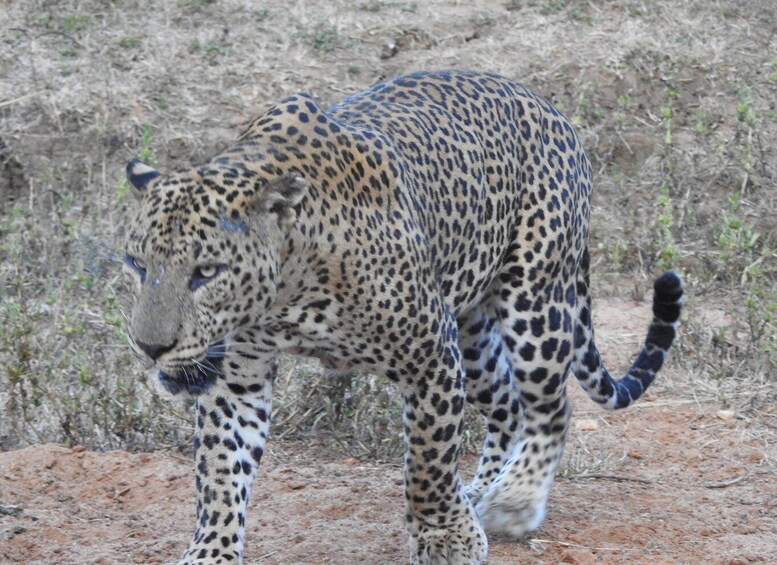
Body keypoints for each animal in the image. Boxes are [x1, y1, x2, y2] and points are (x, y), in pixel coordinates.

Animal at [122, 70, 683, 565]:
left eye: (206, 272)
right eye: (136, 264)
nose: (150, 347)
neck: (284, 291)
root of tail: (552, 109)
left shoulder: (431, 356)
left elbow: (427, 462)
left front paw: (445, 536)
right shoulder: (235, 378)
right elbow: (220, 472)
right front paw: (210, 553)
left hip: (535, 303)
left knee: (550, 408)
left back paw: (514, 500)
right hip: (473, 334)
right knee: (508, 406)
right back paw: (481, 491)